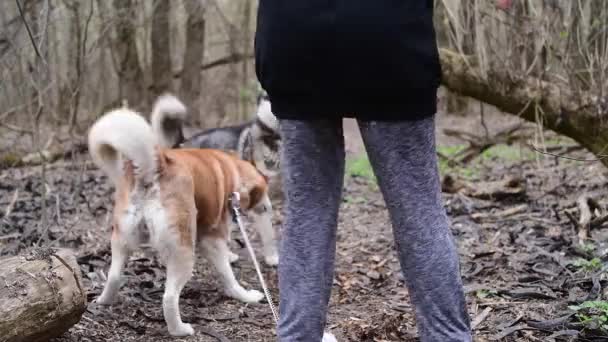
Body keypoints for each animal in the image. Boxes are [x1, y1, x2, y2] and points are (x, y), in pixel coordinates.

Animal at [89, 103, 280, 336]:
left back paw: (103, 301)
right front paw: (245, 295)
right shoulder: (212, 238)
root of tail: (156, 167)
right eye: (264, 193)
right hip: (183, 252)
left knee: (114, 276)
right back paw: (180, 329)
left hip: (122, 240)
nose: (268, 207)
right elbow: (228, 275)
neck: (230, 169)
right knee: (169, 298)